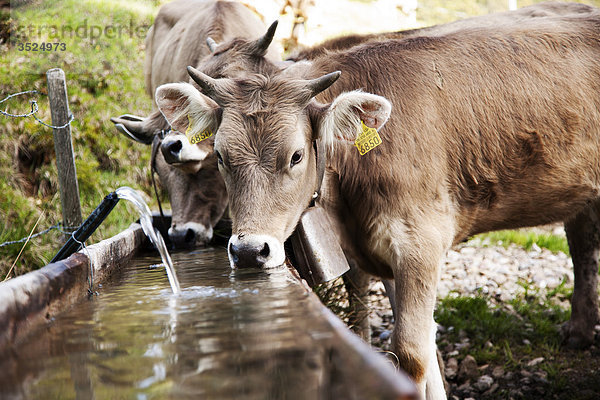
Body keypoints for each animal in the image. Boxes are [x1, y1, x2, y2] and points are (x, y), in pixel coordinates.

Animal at [156, 10, 600, 398]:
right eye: (222, 156)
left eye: (296, 156)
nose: (249, 251)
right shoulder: (371, 252)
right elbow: (412, 345)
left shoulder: (420, 244)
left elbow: (412, 354)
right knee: (582, 244)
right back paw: (579, 332)